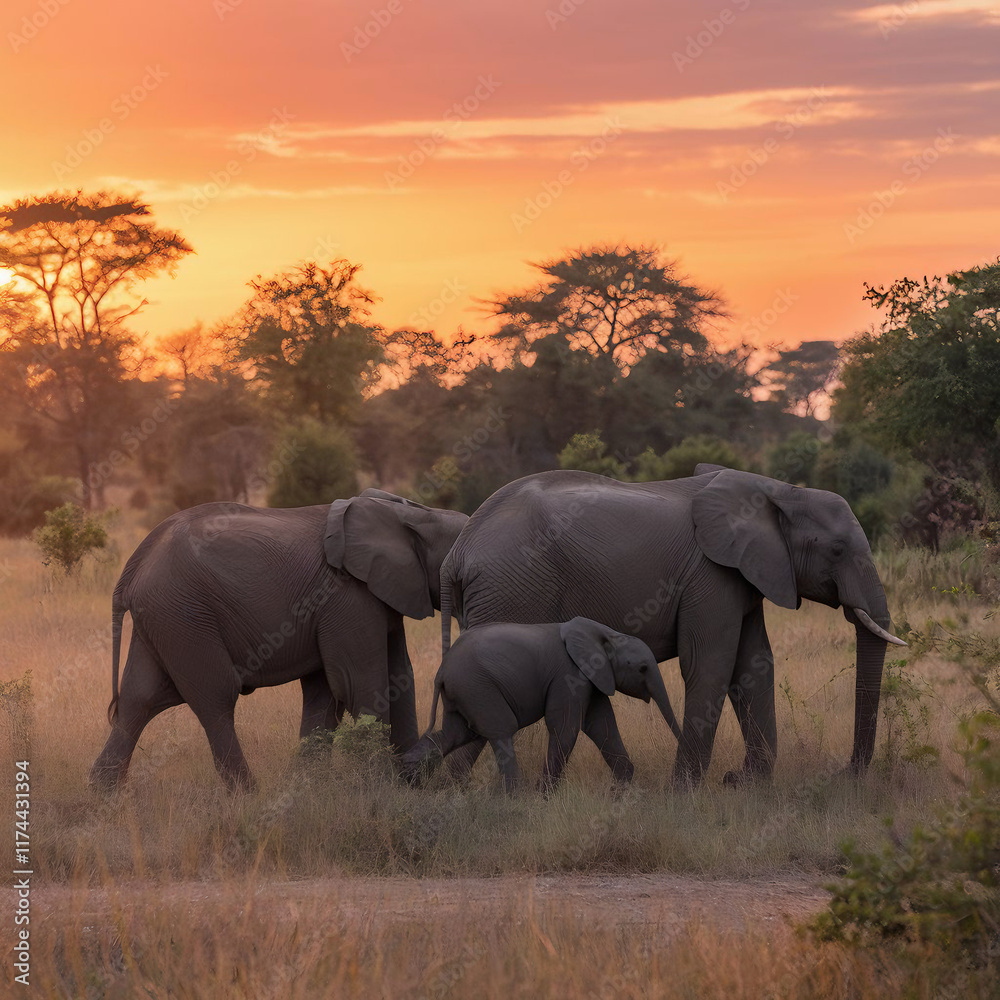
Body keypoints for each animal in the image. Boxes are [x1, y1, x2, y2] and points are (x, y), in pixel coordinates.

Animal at [89, 490, 468, 792]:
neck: (411, 514)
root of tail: (134, 565)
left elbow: (384, 680)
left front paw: (312, 786)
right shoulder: (347, 597)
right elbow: (358, 685)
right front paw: (380, 788)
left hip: (162, 617)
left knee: (141, 698)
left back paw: (105, 795)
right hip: (183, 613)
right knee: (215, 697)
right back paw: (247, 794)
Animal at [401, 617, 682, 791]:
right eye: (643, 668)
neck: (606, 634)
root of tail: (441, 671)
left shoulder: (593, 678)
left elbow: (602, 725)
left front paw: (623, 786)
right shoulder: (569, 675)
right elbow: (566, 727)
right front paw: (544, 795)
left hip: (465, 692)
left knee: (454, 734)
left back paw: (409, 779)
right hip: (477, 686)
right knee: (501, 730)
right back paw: (516, 796)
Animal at [438, 466, 905, 787]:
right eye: (838, 550)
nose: (843, 774)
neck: (780, 491)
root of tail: (457, 552)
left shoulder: (745, 574)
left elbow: (754, 666)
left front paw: (747, 784)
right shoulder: (710, 576)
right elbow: (711, 666)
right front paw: (686, 792)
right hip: (510, 589)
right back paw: (460, 792)